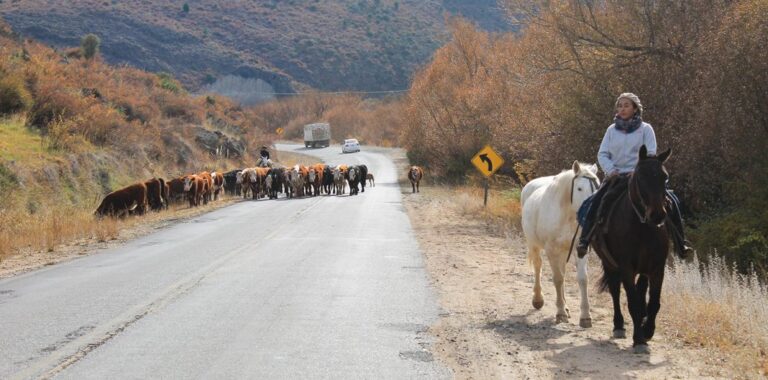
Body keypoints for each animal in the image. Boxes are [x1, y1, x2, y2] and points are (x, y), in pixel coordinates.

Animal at [520, 160, 600, 326]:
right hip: (533, 244)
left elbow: (582, 279)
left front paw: (585, 316)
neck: (567, 215)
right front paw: (561, 312)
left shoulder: (579, 249)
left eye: (598, 188)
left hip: (563, 251)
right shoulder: (551, 250)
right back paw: (538, 300)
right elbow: (558, 279)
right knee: (538, 266)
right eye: (579, 188)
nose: (592, 213)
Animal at [592, 145, 668, 354]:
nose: (657, 215)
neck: (642, 227)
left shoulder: (657, 268)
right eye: (640, 177)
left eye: (665, 177)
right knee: (615, 291)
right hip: (609, 263)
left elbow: (654, 302)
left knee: (641, 291)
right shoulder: (626, 267)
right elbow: (632, 302)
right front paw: (639, 339)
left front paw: (648, 330)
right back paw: (619, 325)